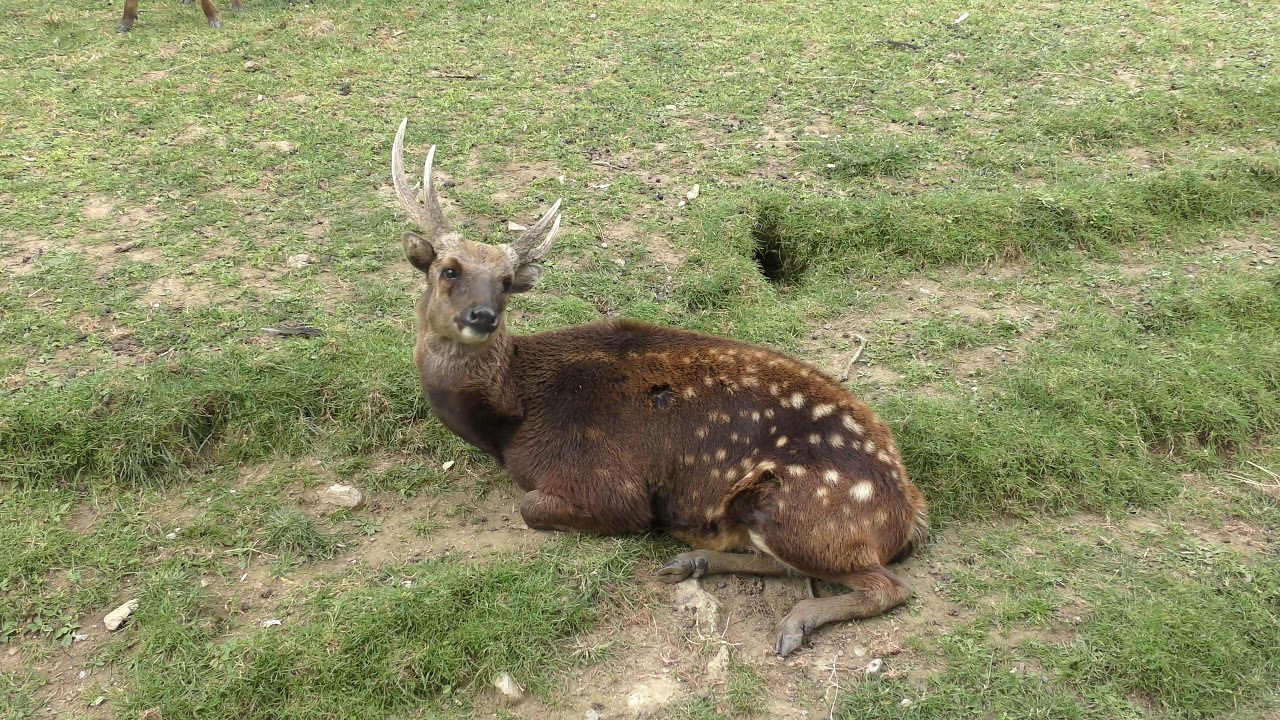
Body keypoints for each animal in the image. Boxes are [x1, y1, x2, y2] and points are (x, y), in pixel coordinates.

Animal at [390, 119, 930, 656]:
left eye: (505, 282)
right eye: (448, 269)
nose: (482, 315)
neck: (509, 425)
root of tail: (908, 514)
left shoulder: (607, 484)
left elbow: (531, 507)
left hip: (793, 510)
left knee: (888, 587)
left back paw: (792, 621)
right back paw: (692, 562)